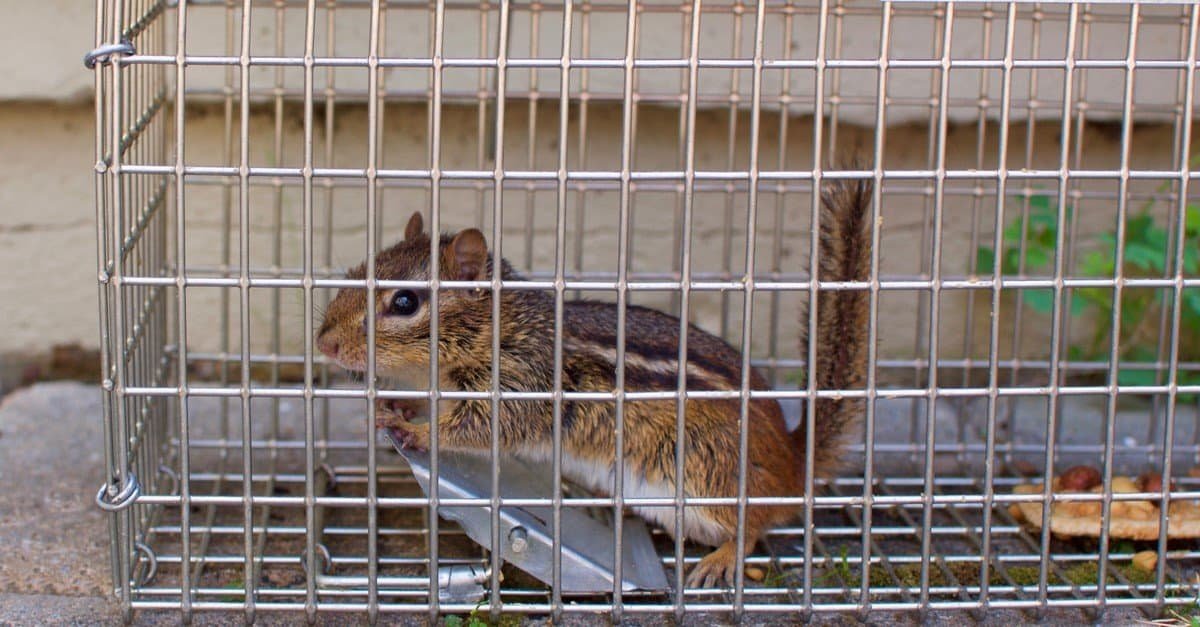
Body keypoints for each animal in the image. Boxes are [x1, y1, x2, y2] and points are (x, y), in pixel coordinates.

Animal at [315, 178, 872, 588]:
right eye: (362, 267)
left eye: (404, 302)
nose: (325, 344)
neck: (501, 329)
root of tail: (794, 462)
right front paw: (393, 405)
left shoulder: (520, 385)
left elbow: (480, 428)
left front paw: (415, 430)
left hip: (705, 476)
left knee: (752, 527)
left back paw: (722, 558)